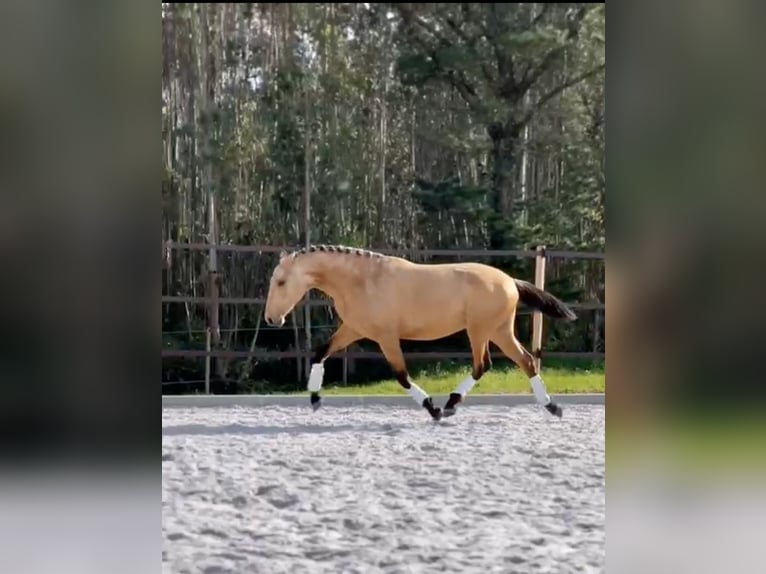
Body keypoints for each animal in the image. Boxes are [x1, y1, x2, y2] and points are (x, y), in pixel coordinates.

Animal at [264, 245, 576, 420]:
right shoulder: (353, 329)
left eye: (280, 282)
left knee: (484, 364)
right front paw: (315, 399)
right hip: (498, 331)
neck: (363, 280)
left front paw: (431, 408)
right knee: (524, 361)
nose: (271, 319)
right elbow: (320, 353)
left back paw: (450, 404)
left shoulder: (386, 337)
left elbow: (401, 375)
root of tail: (510, 281)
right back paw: (551, 406)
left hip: (480, 330)